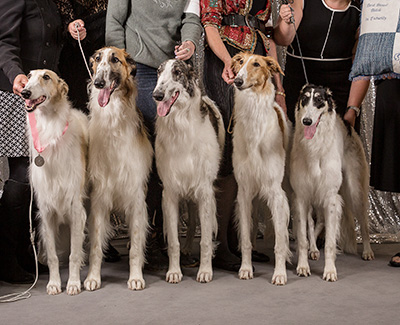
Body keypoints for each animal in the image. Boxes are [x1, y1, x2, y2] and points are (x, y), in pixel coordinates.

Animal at [21, 69, 88, 294]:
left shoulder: (76, 209)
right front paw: (54, 284)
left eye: (46, 77)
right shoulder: (47, 211)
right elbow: (52, 255)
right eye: (28, 76)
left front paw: (74, 283)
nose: (24, 92)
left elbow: (74, 253)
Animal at [85, 46, 153, 290]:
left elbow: (136, 243)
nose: (98, 83)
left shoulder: (136, 196)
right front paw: (92, 278)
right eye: (97, 59)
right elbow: (96, 245)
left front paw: (136, 277)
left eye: (115, 59)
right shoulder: (100, 196)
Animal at [152, 59, 223, 282]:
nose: (157, 95)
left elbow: (206, 239)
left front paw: (205, 271)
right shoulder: (170, 192)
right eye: (159, 72)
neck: (180, 123)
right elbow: (174, 241)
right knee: (190, 224)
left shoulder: (205, 191)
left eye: (177, 72)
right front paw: (174, 271)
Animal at [231, 53, 290, 284]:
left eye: (256, 64)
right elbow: (246, 236)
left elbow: (280, 241)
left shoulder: (275, 191)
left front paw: (280, 274)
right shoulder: (244, 191)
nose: (237, 81)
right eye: (239, 62)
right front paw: (246, 268)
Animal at [290, 84, 376, 280]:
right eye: (304, 99)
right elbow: (303, 237)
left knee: (363, 222)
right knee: (314, 222)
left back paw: (367, 251)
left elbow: (329, 242)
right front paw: (303, 266)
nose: (307, 121)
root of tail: (347, 124)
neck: (314, 147)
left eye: (319, 100)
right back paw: (313, 249)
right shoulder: (301, 196)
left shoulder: (330, 197)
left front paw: (329, 271)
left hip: (354, 190)